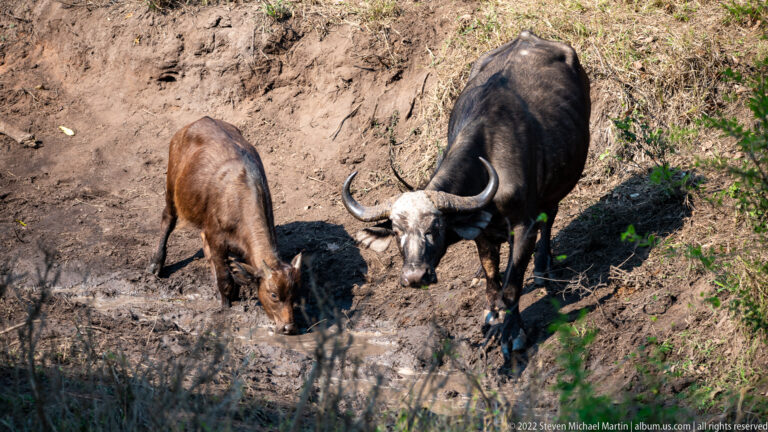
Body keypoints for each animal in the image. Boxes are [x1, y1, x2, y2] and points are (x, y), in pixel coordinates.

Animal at [148, 116, 302, 335]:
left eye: (295, 294)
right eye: (273, 295)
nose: (289, 327)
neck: (239, 200)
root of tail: (195, 123)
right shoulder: (217, 240)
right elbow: (225, 279)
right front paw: (226, 305)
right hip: (171, 186)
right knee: (167, 219)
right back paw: (156, 264)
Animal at [342, 31, 590, 354]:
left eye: (435, 227)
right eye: (396, 231)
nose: (414, 276)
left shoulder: (524, 225)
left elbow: (511, 286)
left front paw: (513, 334)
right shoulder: (482, 233)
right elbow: (492, 279)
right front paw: (492, 318)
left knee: (552, 212)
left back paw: (542, 268)